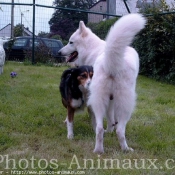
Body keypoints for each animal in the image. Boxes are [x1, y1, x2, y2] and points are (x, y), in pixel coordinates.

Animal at [59, 13, 146, 153]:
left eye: (71, 42)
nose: (59, 52)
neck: (92, 49)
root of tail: (111, 62)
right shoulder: (110, 100)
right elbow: (111, 118)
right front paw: (110, 130)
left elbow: (109, 117)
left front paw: (109, 130)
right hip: (118, 103)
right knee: (116, 129)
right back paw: (116, 148)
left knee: (107, 128)